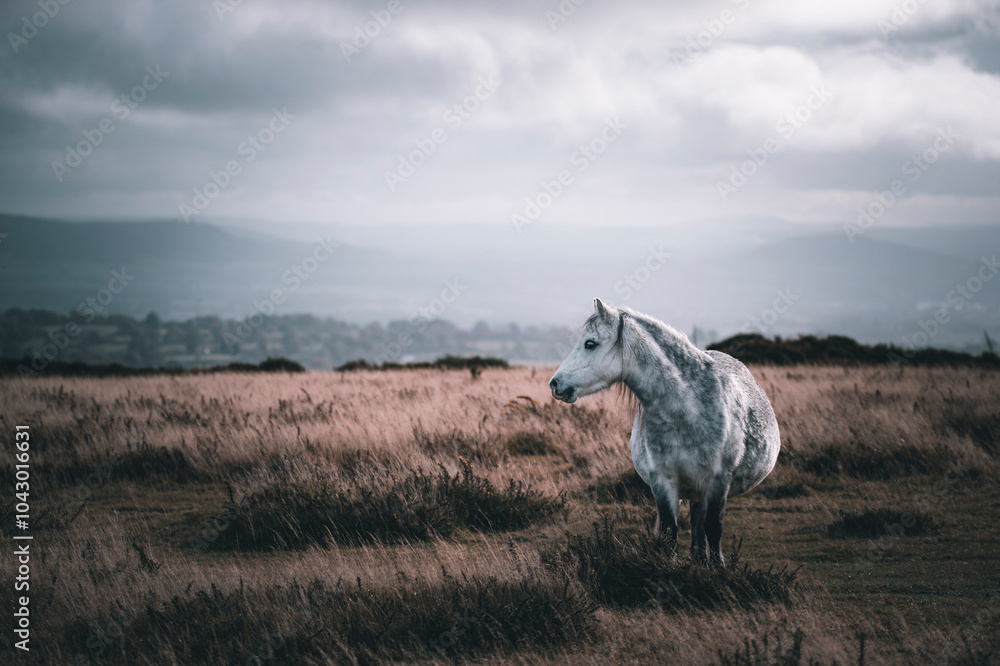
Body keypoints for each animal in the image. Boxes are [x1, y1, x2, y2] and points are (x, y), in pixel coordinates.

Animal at [548, 299, 780, 566]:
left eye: (590, 343)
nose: (554, 384)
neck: (688, 410)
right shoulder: (663, 480)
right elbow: (670, 533)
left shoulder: (719, 480)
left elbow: (714, 528)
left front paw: (720, 569)